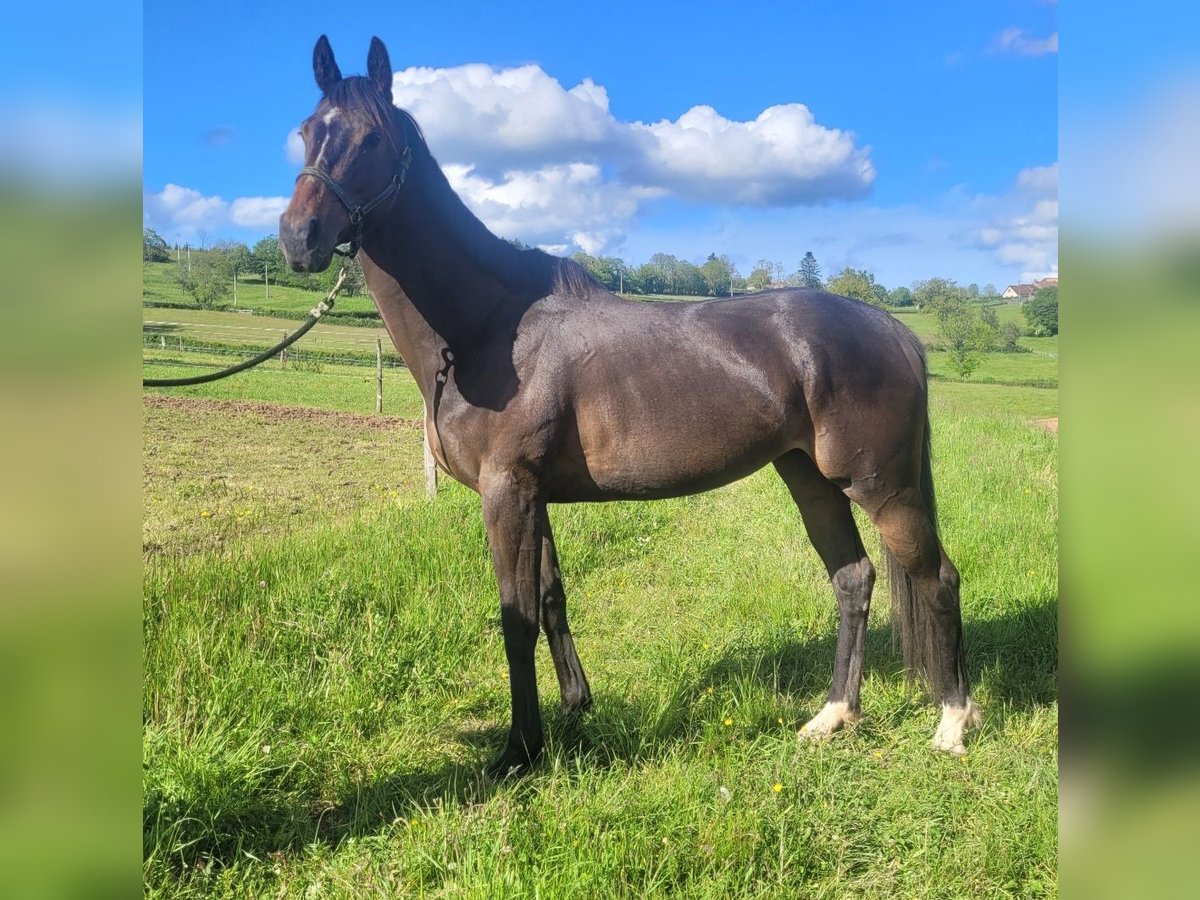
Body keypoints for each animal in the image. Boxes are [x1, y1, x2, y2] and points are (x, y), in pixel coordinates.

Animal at [278, 35, 974, 777]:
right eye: (307, 131)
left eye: (372, 138)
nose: (299, 236)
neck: (490, 330)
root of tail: (894, 330)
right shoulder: (533, 495)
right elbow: (550, 599)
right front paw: (572, 709)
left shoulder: (506, 491)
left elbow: (515, 617)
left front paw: (518, 750)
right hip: (809, 479)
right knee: (853, 579)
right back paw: (833, 715)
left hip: (882, 486)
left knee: (938, 578)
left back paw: (953, 723)